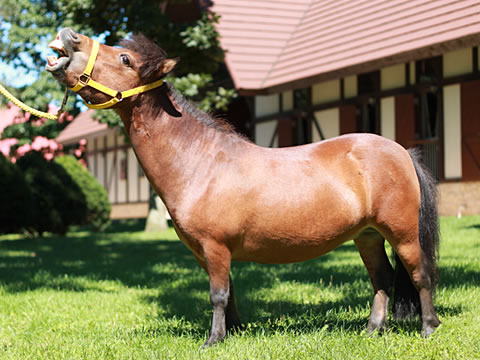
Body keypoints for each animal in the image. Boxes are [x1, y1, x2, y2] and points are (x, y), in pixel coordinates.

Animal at [47, 28, 440, 346]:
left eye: (125, 58)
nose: (70, 37)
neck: (199, 161)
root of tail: (401, 151)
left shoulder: (215, 247)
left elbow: (218, 294)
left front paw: (213, 340)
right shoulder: (205, 253)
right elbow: (229, 292)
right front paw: (233, 332)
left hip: (401, 233)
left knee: (419, 274)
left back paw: (428, 328)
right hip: (367, 236)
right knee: (382, 279)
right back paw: (373, 329)